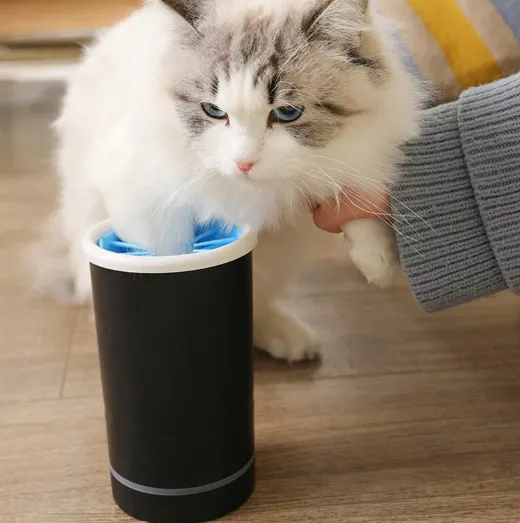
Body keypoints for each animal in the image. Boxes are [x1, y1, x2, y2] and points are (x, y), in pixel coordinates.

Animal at [33, 0, 422, 362]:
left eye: (287, 113)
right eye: (214, 111)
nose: (244, 163)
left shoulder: (357, 149)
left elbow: (354, 194)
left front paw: (379, 262)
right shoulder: (138, 193)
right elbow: (169, 255)